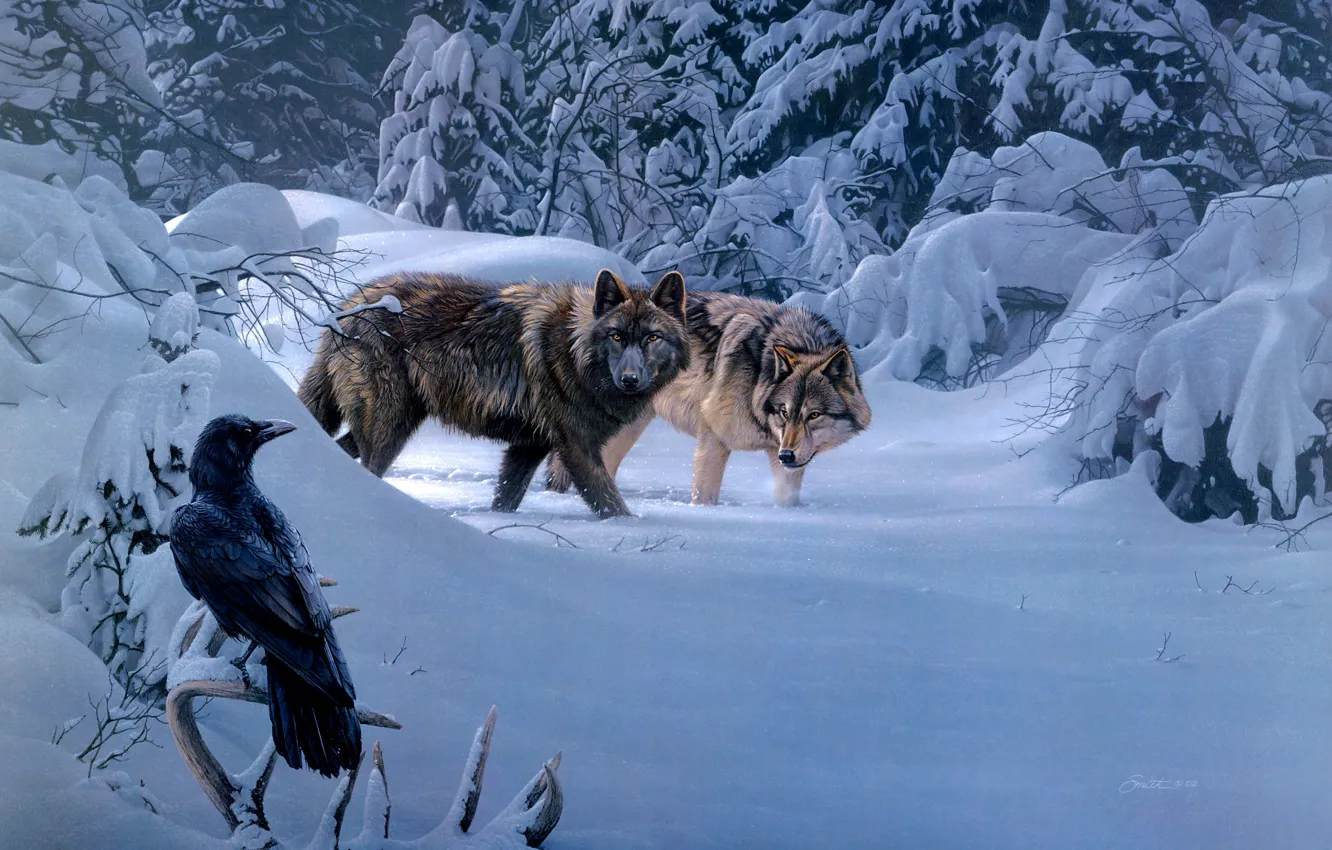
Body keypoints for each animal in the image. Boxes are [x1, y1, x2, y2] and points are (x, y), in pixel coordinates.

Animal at [298, 269, 689, 518]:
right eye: (617, 336)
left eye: (652, 338)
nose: (630, 380)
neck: (572, 349)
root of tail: (346, 308)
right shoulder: (576, 446)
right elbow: (609, 503)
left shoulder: (530, 446)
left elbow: (506, 497)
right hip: (388, 428)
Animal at [547, 291, 870, 507]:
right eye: (784, 411)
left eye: (813, 415)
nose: (787, 455)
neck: (759, 375)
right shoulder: (713, 437)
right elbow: (704, 496)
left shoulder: (780, 455)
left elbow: (787, 499)